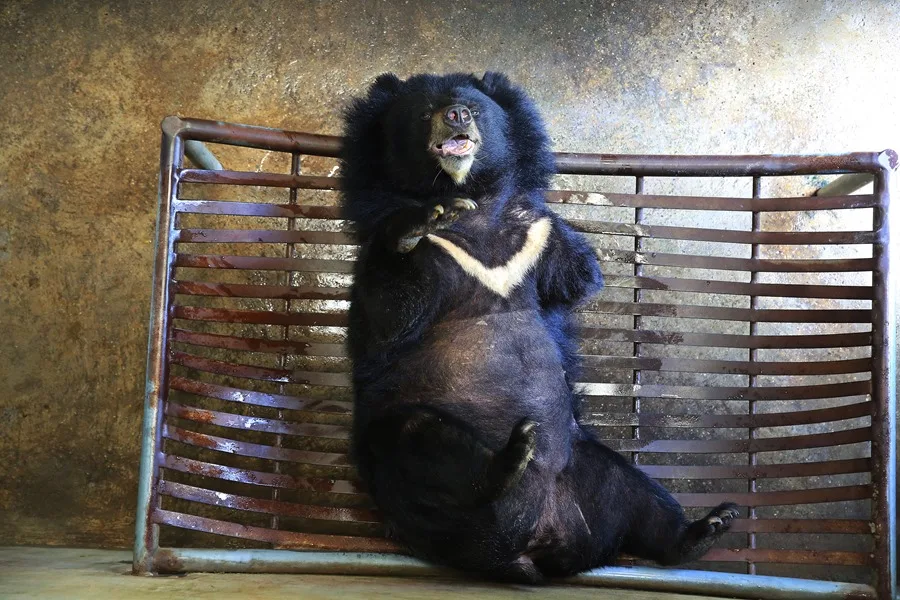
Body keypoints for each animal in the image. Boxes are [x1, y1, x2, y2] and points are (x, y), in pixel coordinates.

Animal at [340, 71, 737, 583]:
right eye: (425, 111)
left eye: (473, 107)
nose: (456, 115)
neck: (477, 209)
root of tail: (530, 543)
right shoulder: (397, 249)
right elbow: (387, 313)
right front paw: (421, 220)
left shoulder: (533, 235)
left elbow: (576, 274)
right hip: (403, 465)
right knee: (418, 439)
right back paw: (508, 460)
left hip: (589, 466)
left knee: (638, 495)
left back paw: (707, 528)